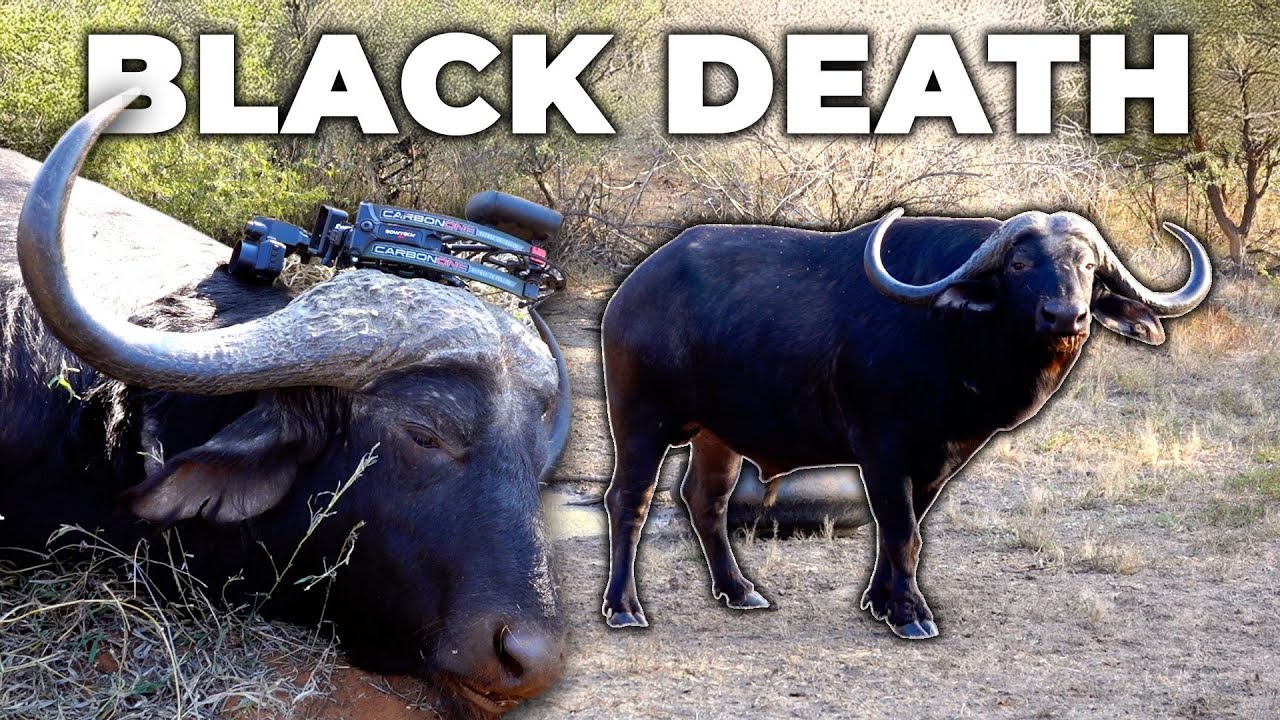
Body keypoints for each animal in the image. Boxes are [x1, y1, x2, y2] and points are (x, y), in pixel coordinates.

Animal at [600, 207, 1210, 638]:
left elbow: (906, 527)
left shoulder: (941, 458)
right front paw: (911, 612)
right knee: (629, 499)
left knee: (706, 501)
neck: (952, 337)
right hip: (640, 419)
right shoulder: (881, 449)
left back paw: (739, 589)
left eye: (1087, 267)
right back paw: (624, 607)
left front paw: (881, 601)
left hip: (718, 434)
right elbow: (901, 530)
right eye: (1019, 265)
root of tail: (634, 287)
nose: (1066, 316)